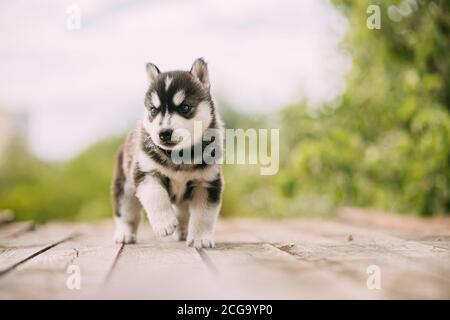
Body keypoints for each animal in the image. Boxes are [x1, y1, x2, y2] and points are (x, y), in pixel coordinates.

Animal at [112, 58, 223, 248]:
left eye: (185, 107)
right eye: (153, 110)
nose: (164, 133)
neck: (180, 155)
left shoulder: (208, 182)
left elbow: (204, 215)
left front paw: (200, 239)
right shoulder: (146, 172)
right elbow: (155, 196)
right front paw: (164, 224)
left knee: (184, 214)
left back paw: (183, 232)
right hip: (125, 188)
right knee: (126, 214)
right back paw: (125, 234)